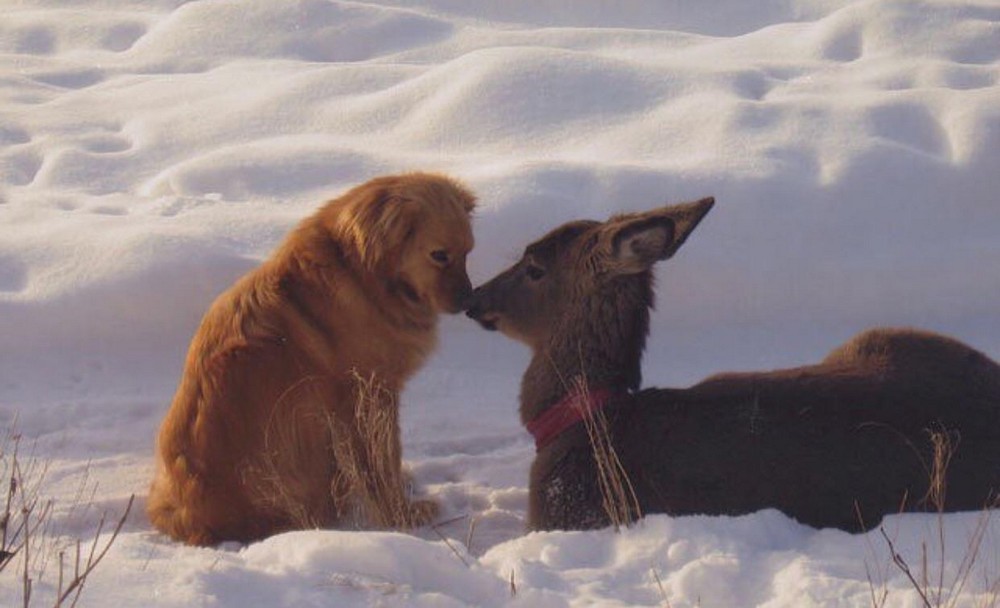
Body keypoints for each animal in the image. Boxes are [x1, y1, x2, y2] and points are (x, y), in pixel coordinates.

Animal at [147, 172, 476, 548]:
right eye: (439, 255)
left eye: (468, 253)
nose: (470, 301)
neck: (362, 273)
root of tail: (185, 516)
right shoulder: (367, 397)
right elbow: (383, 464)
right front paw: (401, 516)